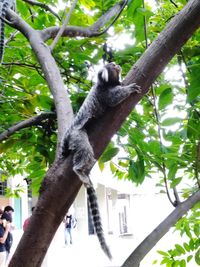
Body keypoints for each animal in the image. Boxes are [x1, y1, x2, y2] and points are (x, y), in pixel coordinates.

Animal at [61, 62, 141, 260]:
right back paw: (80, 170)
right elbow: (114, 98)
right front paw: (129, 89)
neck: (106, 83)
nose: (116, 64)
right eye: (111, 66)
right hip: (77, 134)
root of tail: (67, 135)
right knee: (85, 150)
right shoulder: (104, 93)